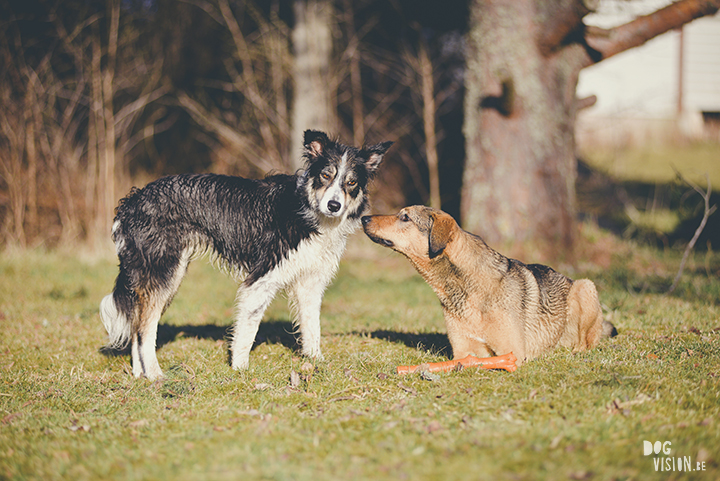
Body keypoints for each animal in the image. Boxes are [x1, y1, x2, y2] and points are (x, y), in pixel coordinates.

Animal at [100, 130, 394, 378]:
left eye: (351, 182)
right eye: (325, 175)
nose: (334, 205)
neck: (306, 210)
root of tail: (132, 201)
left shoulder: (310, 282)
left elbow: (312, 328)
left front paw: (316, 362)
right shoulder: (261, 279)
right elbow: (247, 330)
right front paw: (240, 369)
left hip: (166, 276)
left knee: (138, 326)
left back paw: (140, 375)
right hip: (164, 273)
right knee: (144, 329)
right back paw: (156, 376)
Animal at [362, 204, 616, 366]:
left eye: (405, 217)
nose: (363, 218)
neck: (466, 288)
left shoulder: (512, 352)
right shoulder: (464, 350)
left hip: (585, 287)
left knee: (588, 341)